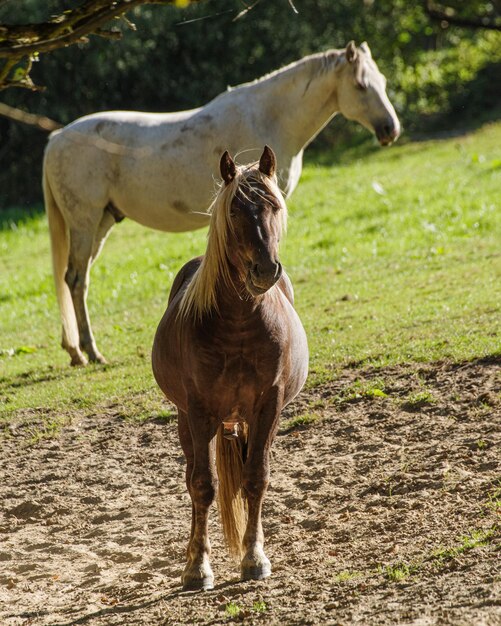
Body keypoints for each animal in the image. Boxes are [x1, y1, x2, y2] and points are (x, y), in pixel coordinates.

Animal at [45, 41, 400, 364]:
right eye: (361, 85)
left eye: (382, 81)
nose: (390, 129)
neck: (269, 115)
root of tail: (56, 139)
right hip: (84, 223)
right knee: (75, 280)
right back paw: (88, 352)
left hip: (101, 223)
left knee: (76, 279)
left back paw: (77, 350)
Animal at [151, 146, 308, 588]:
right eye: (236, 210)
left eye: (274, 206)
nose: (266, 270)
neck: (238, 326)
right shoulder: (200, 411)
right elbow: (203, 486)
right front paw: (196, 567)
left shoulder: (268, 407)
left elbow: (255, 479)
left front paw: (254, 558)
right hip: (187, 420)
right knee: (193, 478)